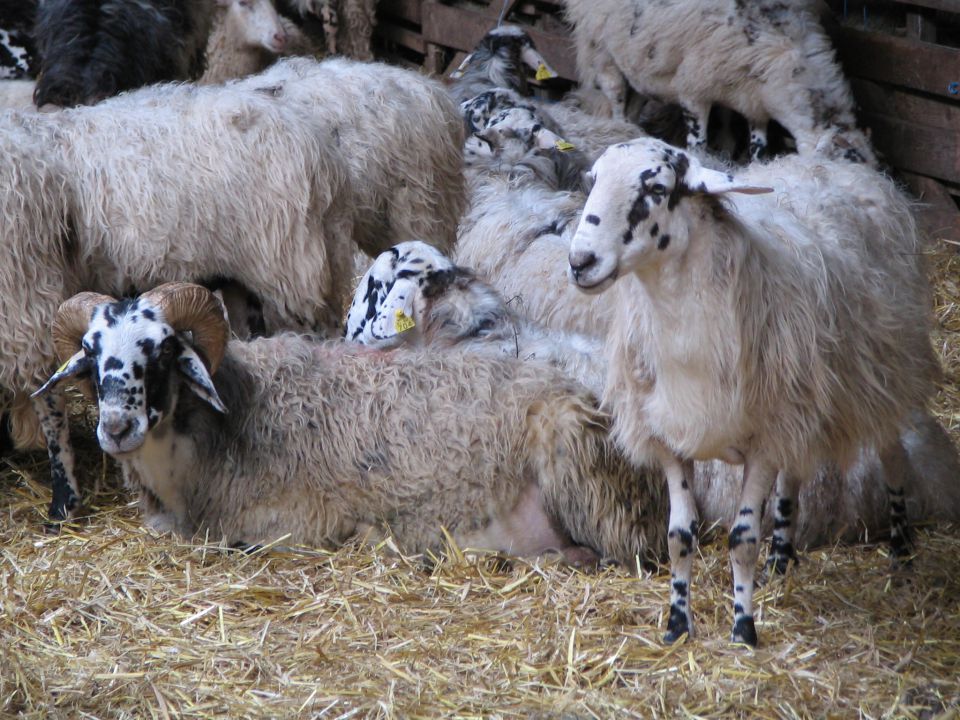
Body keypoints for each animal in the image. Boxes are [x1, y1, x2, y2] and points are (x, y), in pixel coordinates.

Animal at [35, 282, 668, 568]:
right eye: (90, 354)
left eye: (163, 351)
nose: (116, 428)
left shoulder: (288, 523)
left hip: (585, 485)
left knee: (613, 555)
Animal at [564, 0, 876, 163]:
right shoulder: (693, 88)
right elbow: (698, 141)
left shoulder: (751, 100)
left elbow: (756, 143)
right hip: (601, 47)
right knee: (615, 96)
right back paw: (620, 130)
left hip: (639, 60)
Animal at [568, 136, 940, 648]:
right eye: (593, 179)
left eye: (658, 189)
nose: (579, 262)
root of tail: (836, 164)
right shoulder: (670, 438)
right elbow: (679, 536)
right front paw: (677, 624)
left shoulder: (762, 441)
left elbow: (742, 539)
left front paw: (743, 629)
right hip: (796, 399)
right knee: (792, 475)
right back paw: (781, 559)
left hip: (883, 375)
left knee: (894, 458)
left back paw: (902, 555)